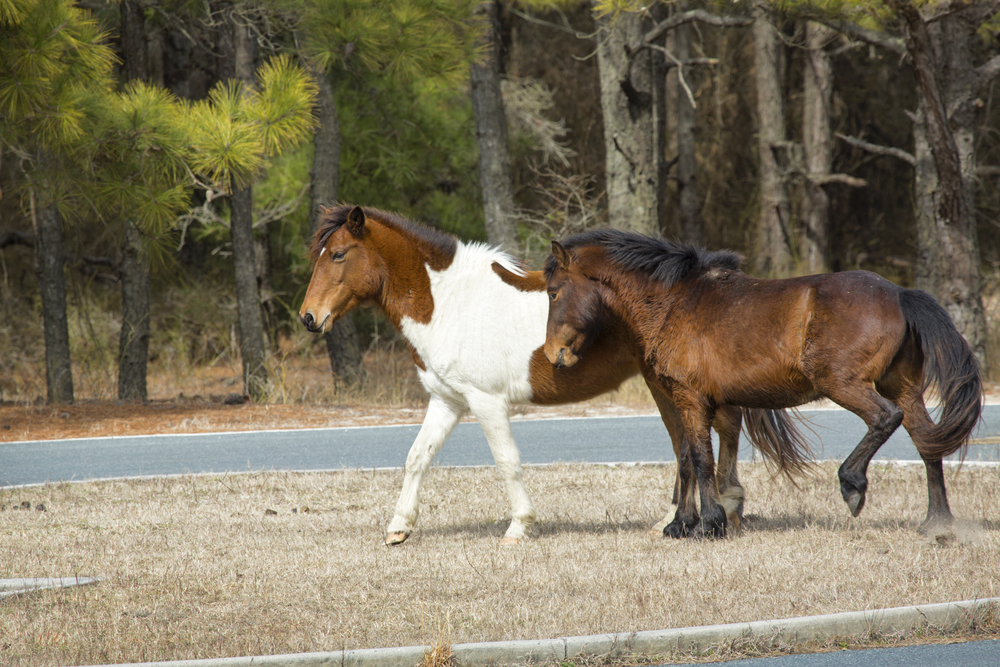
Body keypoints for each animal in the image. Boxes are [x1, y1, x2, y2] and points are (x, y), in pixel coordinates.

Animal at [298, 206, 812, 544]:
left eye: (338, 254)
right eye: (319, 254)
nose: (308, 317)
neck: (448, 302)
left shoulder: (485, 402)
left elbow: (507, 461)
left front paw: (519, 526)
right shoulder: (447, 401)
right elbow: (416, 458)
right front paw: (399, 527)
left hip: (669, 386)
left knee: (704, 437)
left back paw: (712, 511)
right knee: (700, 439)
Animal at [544, 228, 980, 536]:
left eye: (552, 293)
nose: (553, 354)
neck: (673, 301)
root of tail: (899, 293)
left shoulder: (690, 397)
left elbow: (700, 458)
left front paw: (709, 523)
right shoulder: (684, 399)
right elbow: (686, 459)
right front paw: (680, 524)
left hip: (844, 384)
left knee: (885, 419)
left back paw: (852, 484)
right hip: (902, 386)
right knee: (926, 442)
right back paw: (937, 524)